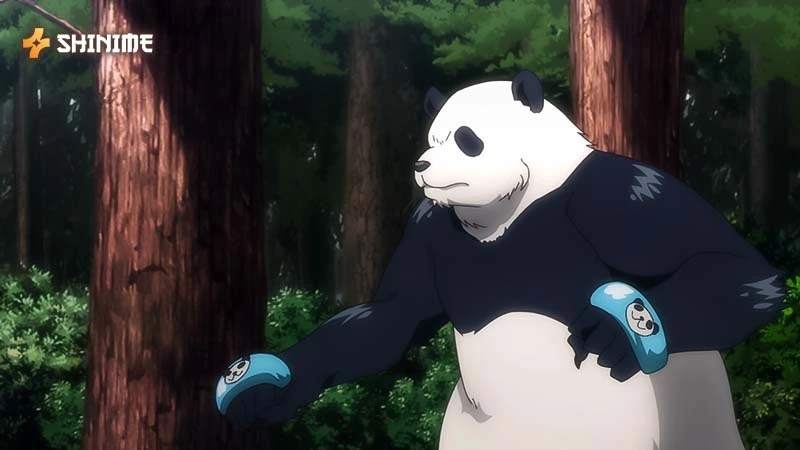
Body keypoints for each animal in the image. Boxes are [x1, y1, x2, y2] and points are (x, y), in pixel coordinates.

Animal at [215, 70, 786, 450]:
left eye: (467, 139)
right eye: (432, 139)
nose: (421, 165)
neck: (501, 214)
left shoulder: (610, 199)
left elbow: (738, 269)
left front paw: (612, 334)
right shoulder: (431, 228)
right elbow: (394, 315)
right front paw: (261, 387)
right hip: (471, 432)